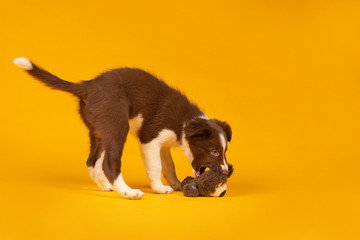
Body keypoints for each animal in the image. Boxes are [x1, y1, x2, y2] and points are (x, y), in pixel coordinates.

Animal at [12, 57, 232, 200]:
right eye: (214, 151)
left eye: (224, 151)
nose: (226, 172)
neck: (185, 122)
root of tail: (89, 86)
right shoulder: (150, 138)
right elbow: (156, 166)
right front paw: (160, 189)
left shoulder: (163, 144)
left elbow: (169, 165)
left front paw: (176, 184)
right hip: (117, 126)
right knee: (109, 164)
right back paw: (127, 192)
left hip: (99, 131)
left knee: (92, 162)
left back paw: (106, 186)